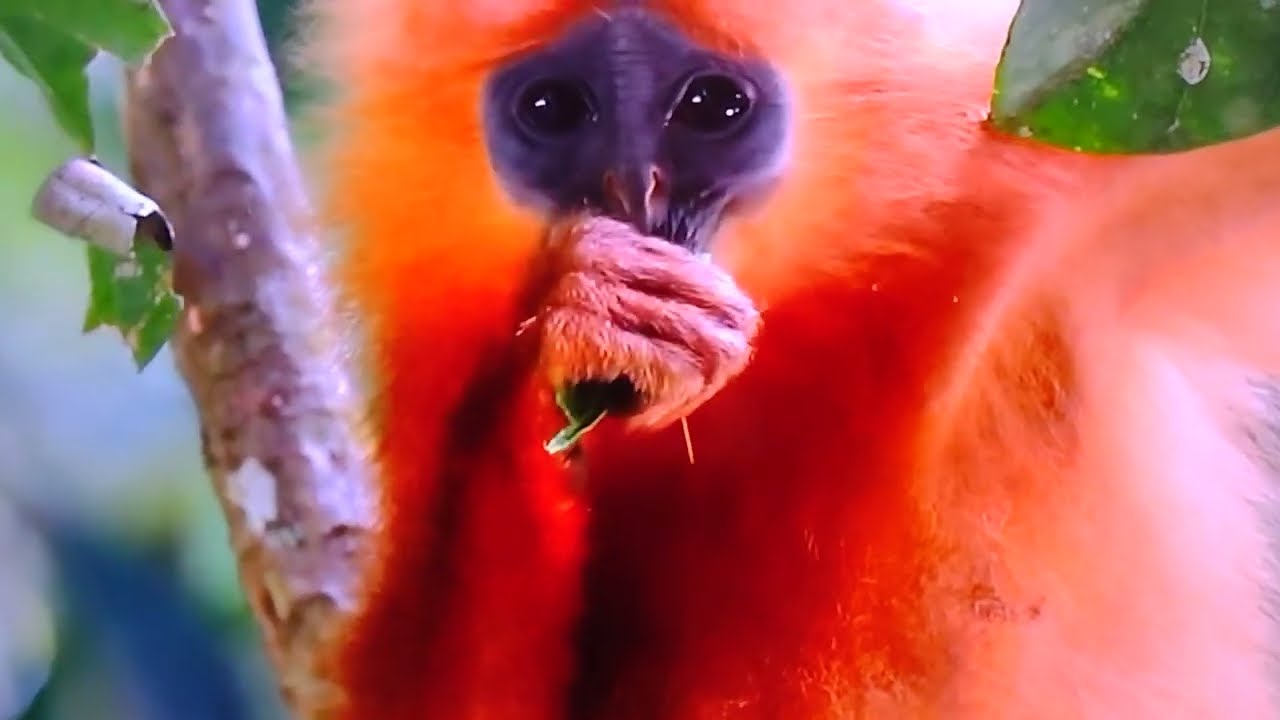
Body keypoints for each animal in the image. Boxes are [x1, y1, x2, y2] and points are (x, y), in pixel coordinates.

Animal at [300, 0, 1280, 717]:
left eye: (711, 107)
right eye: (553, 109)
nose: (635, 193)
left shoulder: (1046, 200)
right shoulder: (436, 332)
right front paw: (585, 319)